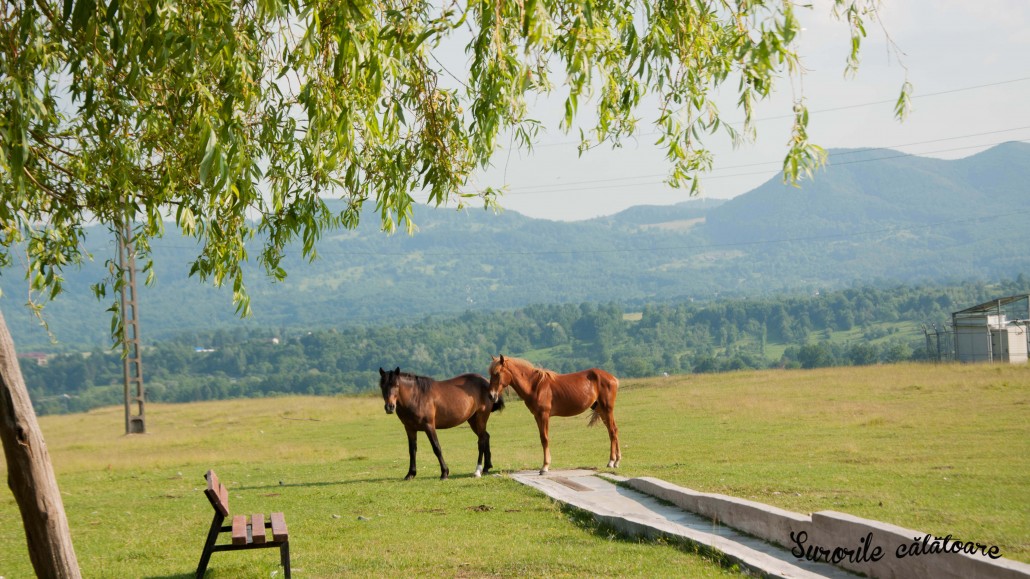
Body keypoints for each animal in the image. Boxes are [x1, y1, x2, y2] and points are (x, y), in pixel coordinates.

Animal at [487, 355, 621, 475]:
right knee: (613, 430)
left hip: (607, 409)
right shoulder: (537, 416)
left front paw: (545, 467)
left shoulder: (544, 415)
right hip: (601, 410)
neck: (535, 386)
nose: (491, 396)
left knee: (612, 431)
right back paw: (617, 460)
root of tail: (613, 378)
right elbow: (542, 438)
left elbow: (545, 439)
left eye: (497, 373)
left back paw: (611, 461)